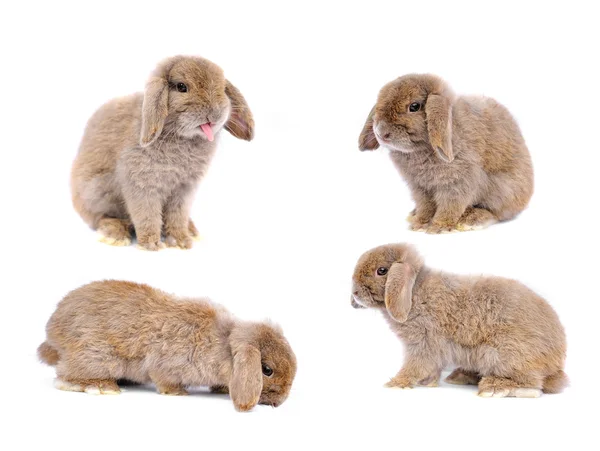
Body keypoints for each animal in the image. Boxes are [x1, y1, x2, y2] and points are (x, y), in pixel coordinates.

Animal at [37, 280, 296, 412]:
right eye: (267, 370)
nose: (281, 402)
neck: (225, 345)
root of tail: (53, 331)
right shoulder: (166, 363)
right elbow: (164, 379)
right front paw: (178, 393)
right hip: (98, 356)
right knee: (64, 376)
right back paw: (102, 387)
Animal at [70, 55, 253, 251]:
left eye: (222, 88)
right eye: (181, 87)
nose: (215, 114)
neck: (179, 136)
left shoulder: (183, 191)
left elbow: (177, 216)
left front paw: (180, 241)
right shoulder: (142, 186)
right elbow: (146, 215)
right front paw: (151, 245)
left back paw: (191, 230)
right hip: (96, 191)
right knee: (100, 218)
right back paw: (116, 235)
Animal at [350, 244, 564, 400]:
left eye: (382, 271)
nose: (355, 293)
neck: (414, 291)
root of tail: (557, 363)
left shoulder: (423, 343)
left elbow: (416, 366)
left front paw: (396, 383)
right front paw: (428, 383)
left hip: (502, 354)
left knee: (534, 386)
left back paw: (493, 388)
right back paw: (462, 376)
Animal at [358, 73, 532, 237]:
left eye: (414, 106)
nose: (380, 132)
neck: (420, 150)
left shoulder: (457, 183)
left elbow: (450, 206)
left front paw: (438, 227)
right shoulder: (420, 188)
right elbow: (425, 206)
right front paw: (420, 224)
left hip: (504, 191)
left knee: (496, 213)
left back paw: (471, 219)